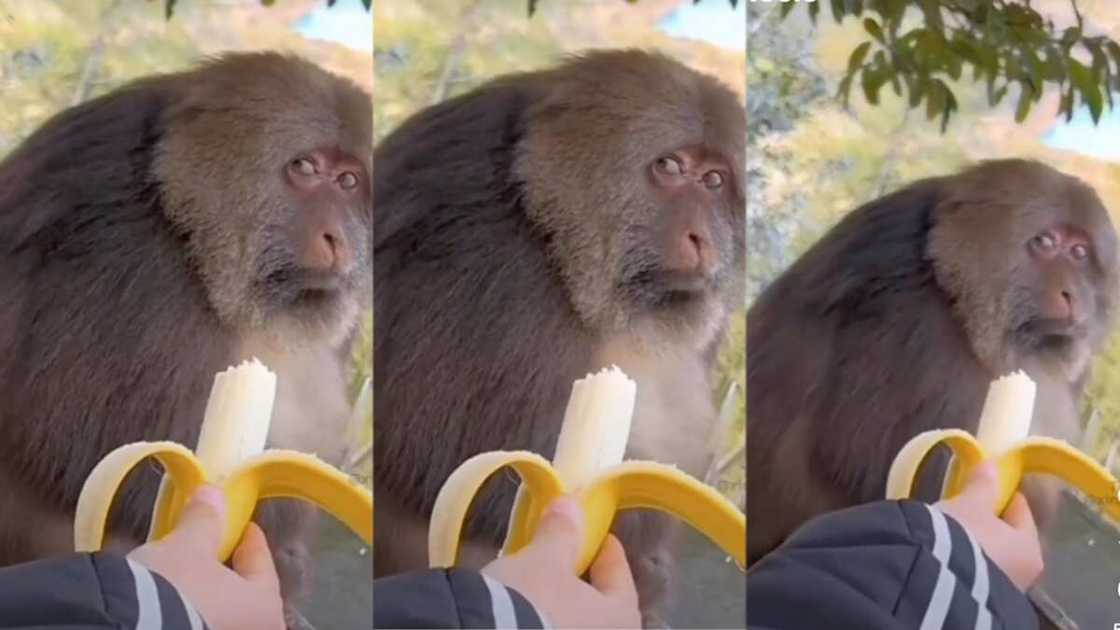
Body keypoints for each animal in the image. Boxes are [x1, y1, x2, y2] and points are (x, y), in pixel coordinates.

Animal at [745, 159, 1119, 577]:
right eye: (1045, 242)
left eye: (1079, 252)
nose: (1073, 295)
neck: (953, 287)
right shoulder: (916, 319)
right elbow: (877, 466)